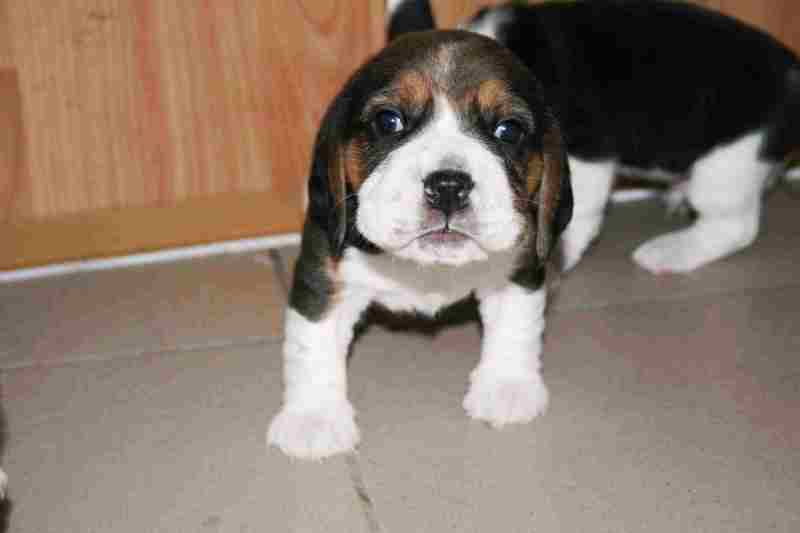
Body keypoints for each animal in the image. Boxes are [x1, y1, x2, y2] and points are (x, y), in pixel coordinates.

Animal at [267, 7, 573, 459]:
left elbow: (517, 323)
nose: (448, 186)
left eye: (508, 130)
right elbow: (311, 343)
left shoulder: (520, 266)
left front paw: (507, 386)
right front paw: (314, 417)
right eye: (388, 121)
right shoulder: (323, 275)